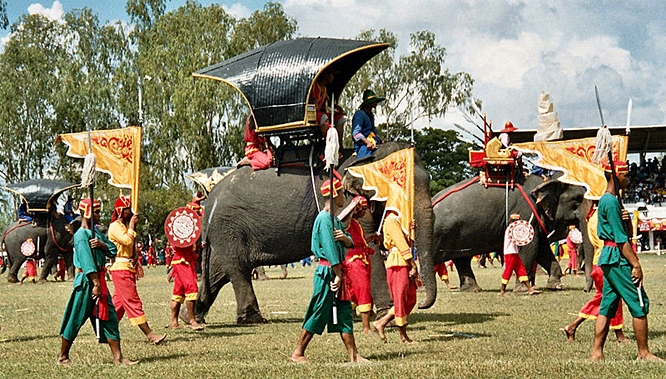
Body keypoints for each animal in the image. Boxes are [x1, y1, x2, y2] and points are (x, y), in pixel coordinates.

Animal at [195, 141, 438, 326]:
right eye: (400, 187)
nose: (422, 303)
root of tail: (209, 200)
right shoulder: (344, 201)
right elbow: (366, 246)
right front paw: (386, 317)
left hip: (223, 233)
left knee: (218, 272)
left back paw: (196, 316)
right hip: (228, 228)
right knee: (237, 270)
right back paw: (253, 320)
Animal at [430, 174, 580, 292]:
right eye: (577, 200)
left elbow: (542, 249)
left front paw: (556, 286)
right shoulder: (526, 211)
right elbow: (529, 247)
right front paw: (523, 290)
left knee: (462, 259)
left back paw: (473, 289)